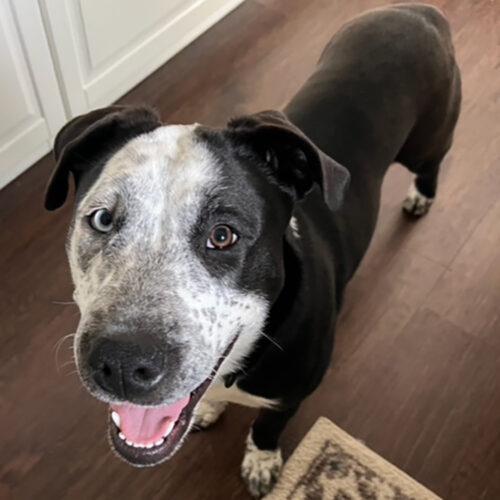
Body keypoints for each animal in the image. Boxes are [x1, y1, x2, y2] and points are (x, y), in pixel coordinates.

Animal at [45, 4, 458, 500]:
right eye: (103, 219)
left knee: (432, 163)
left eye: (224, 235)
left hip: (428, 140)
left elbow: (266, 427)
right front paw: (209, 411)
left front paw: (261, 463)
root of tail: (416, 11)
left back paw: (421, 197)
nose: (122, 365)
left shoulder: (292, 395)